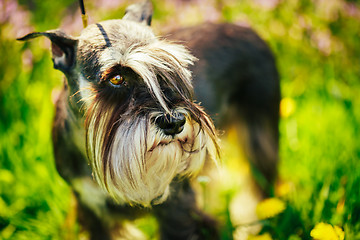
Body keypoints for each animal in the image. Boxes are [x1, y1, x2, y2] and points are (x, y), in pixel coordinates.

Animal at [16, 0, 280, 239]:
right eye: (116, 78)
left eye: (170, 68)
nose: (175, 123)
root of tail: (248, 29)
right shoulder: (92, 211)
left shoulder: (177, 208)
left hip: (261, 138)